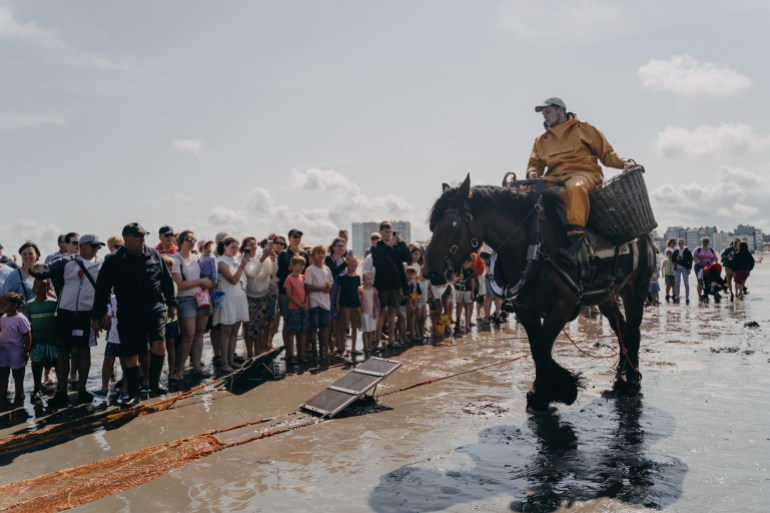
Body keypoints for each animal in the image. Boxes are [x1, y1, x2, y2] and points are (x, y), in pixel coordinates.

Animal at [424, 175, 652, 412]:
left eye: (453, 224)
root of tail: (644, 237)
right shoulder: (525, 309)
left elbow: (542, 348)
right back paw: (621, 373)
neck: (534, 244)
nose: (430, 272)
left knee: (633, 331)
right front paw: (543, 393)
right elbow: (536, 349)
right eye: (432, 226)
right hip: (606, 297)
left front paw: (563, 389)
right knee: (622, 329)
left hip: (636, 290)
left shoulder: (562, 307)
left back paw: (631, 381)